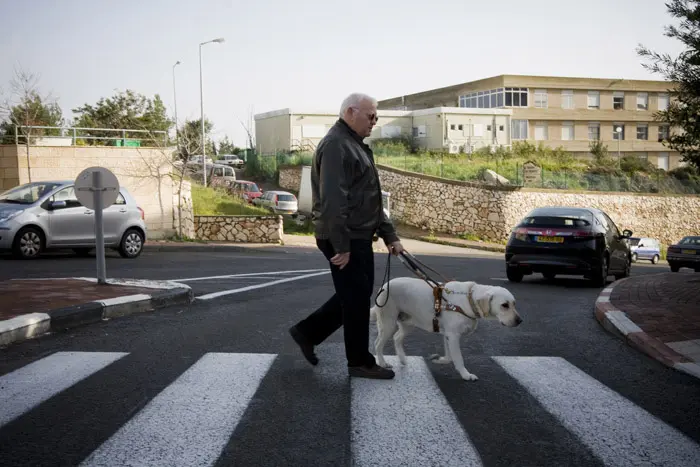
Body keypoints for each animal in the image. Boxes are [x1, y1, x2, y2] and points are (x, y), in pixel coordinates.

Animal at [370, 278, 524, 380]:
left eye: (514, 303)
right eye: (505, 305)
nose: (520, 321)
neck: (469, 299)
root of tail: (384, 286)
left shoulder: (448, 335)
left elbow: (450, 357)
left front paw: (439, 360)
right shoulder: (453, 335)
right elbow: (458, 358)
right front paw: (466, 374)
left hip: (408, 323)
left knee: (397, 338)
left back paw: (402, 359)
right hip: (388, 323)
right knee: (378, 344)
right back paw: (383, 363)